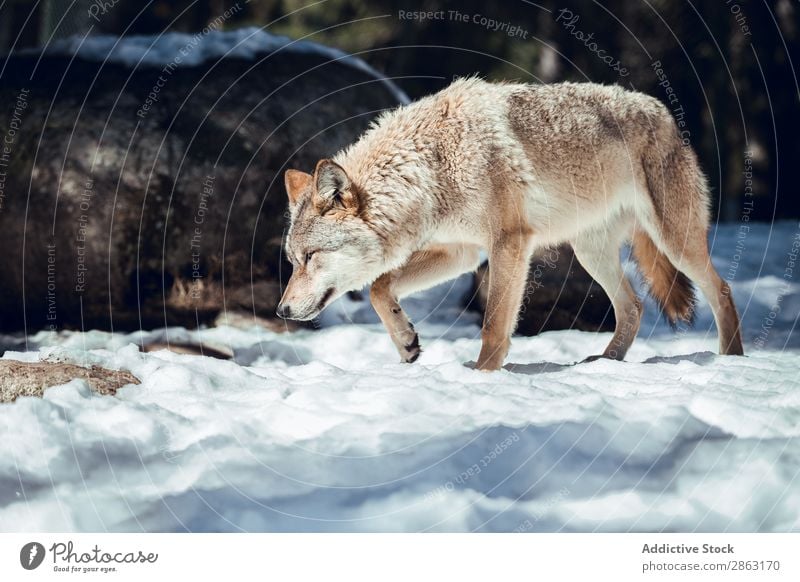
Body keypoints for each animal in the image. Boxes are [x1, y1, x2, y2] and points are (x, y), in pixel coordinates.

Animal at [276, 77, 744, 372]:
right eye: (293, 260)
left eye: (311, 257)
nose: (282, 311)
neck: (431, 167)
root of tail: (661, 109)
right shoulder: (461, 252)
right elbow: (379, 287)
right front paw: (407, 342)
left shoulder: (509, 243)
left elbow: (493, 324)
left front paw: (483, 375)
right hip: (591, 253)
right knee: (634, 305)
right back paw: (604, 363)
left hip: (675, 240)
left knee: (721, 289)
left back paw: (731, 360)